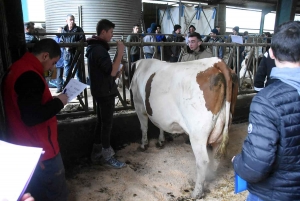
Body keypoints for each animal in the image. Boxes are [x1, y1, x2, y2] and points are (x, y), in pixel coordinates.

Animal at [130, 57, 238, 199]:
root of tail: (216, 62)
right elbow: (160, 125)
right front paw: (161, 141)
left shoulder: (138, 104)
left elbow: (144, 126)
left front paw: (143, 145)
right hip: (222, 125)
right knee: (215, 156)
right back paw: (209, 177)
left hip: (198, 132)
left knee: (202, 161)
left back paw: (196, 193)